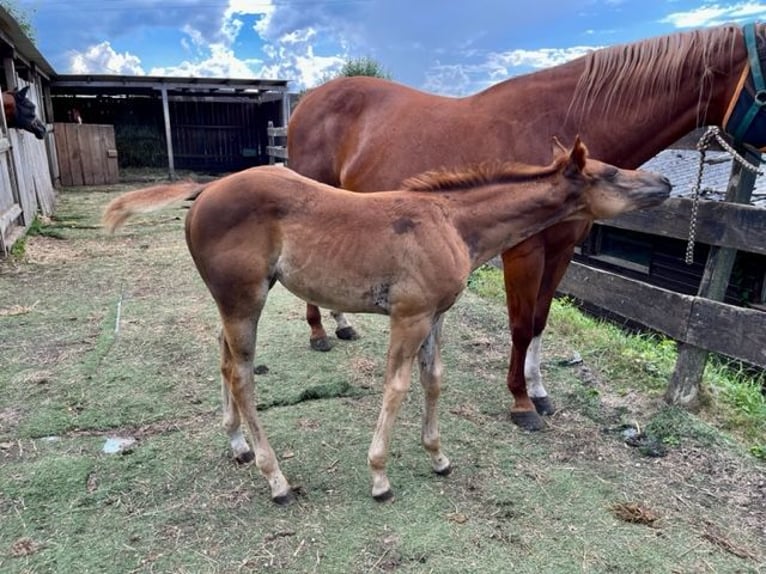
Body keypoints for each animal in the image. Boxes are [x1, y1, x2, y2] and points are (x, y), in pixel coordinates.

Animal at [103, 140, 672, 504]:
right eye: (611, 173)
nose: (665, 182)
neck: (451, 222)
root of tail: (203, 194)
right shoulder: (409, 316)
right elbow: (396, 386)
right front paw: (380, 476)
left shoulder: (436, 316)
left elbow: (433, 379)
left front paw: (438, 456)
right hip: (244, 301)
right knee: (242, 376)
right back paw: (276, 479)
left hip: (234, 303)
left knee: (223, 361)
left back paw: (237, 445)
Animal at [288, 21, 766, 432]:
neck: (560, 120)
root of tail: (307, 100)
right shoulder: (524, 250)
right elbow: (519, 323)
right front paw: (520, 403)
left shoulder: (562, 251)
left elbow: (538, 320)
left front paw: (538, 391)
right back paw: (318, 332)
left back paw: (341, 324)